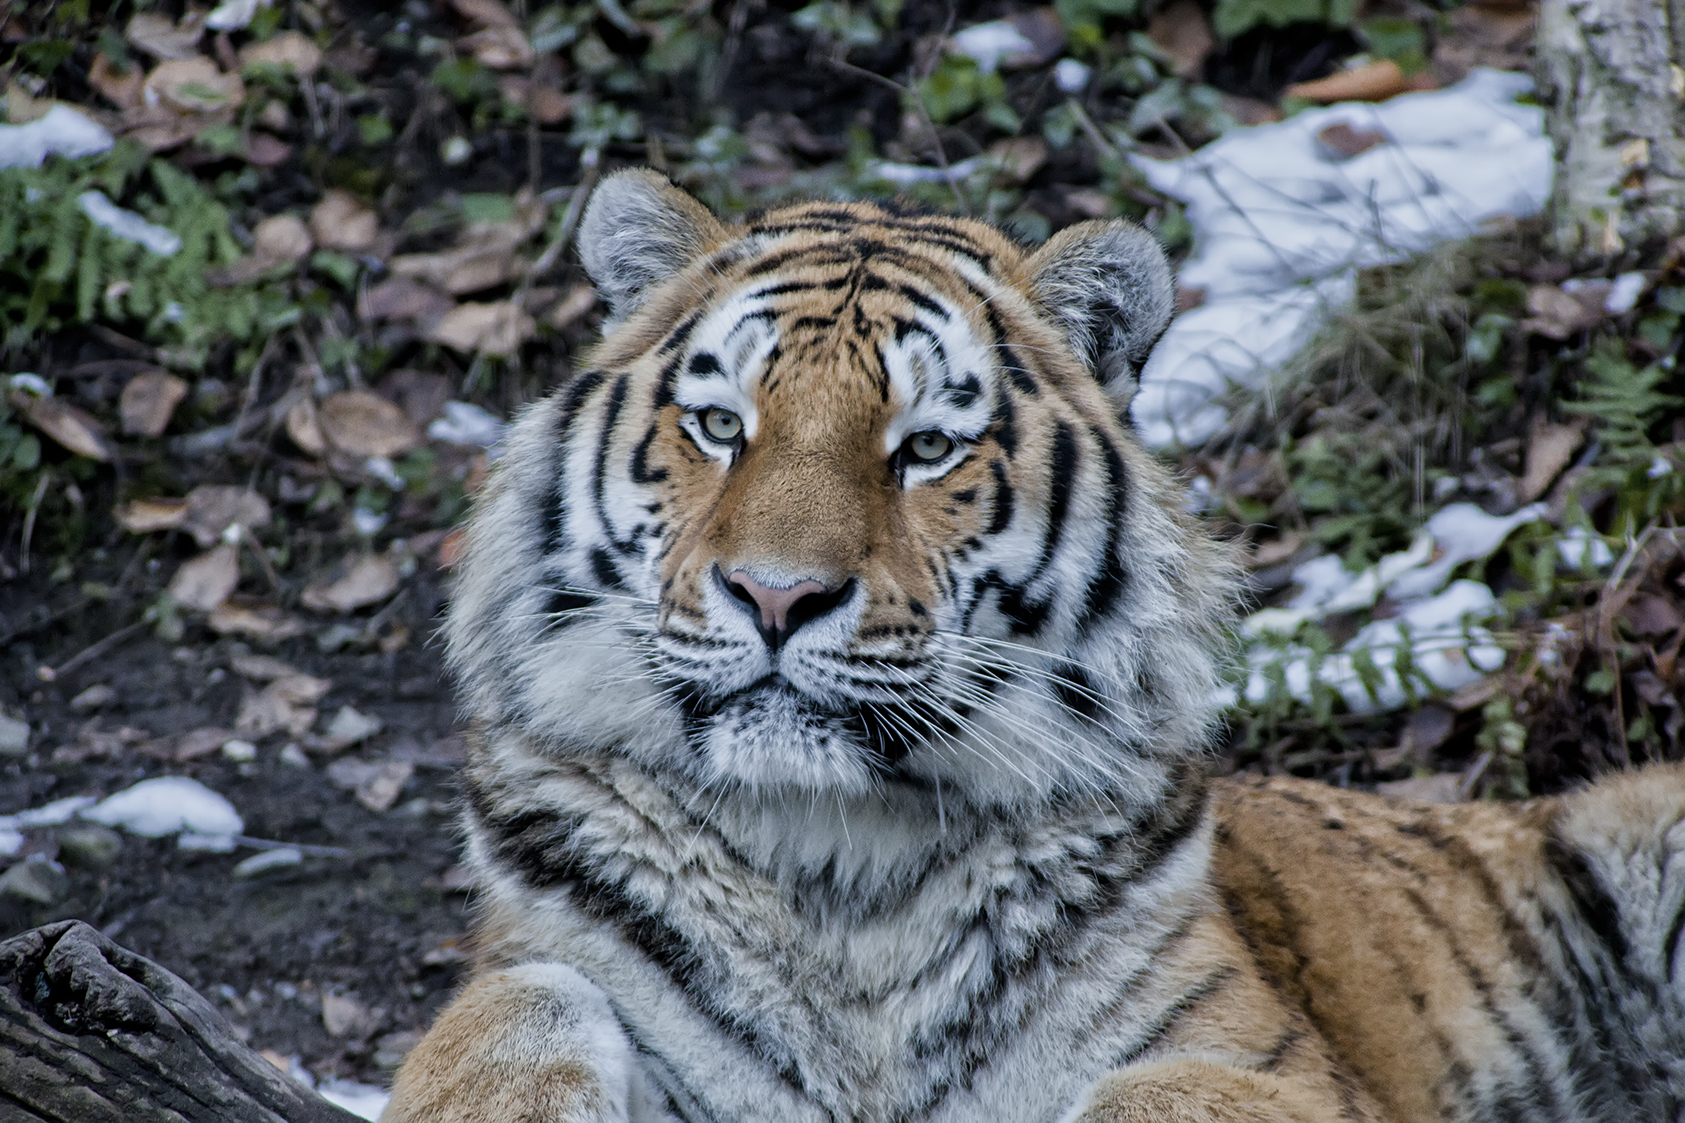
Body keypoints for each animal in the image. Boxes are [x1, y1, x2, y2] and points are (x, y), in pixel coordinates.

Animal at [383, 169, 1685, 1123]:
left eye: (924, 447)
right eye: (717, 426)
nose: (774, 595)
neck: (833, 872)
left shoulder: (1260, 1064)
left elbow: (1152, 1098)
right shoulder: (532, 965)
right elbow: (512, 1016)